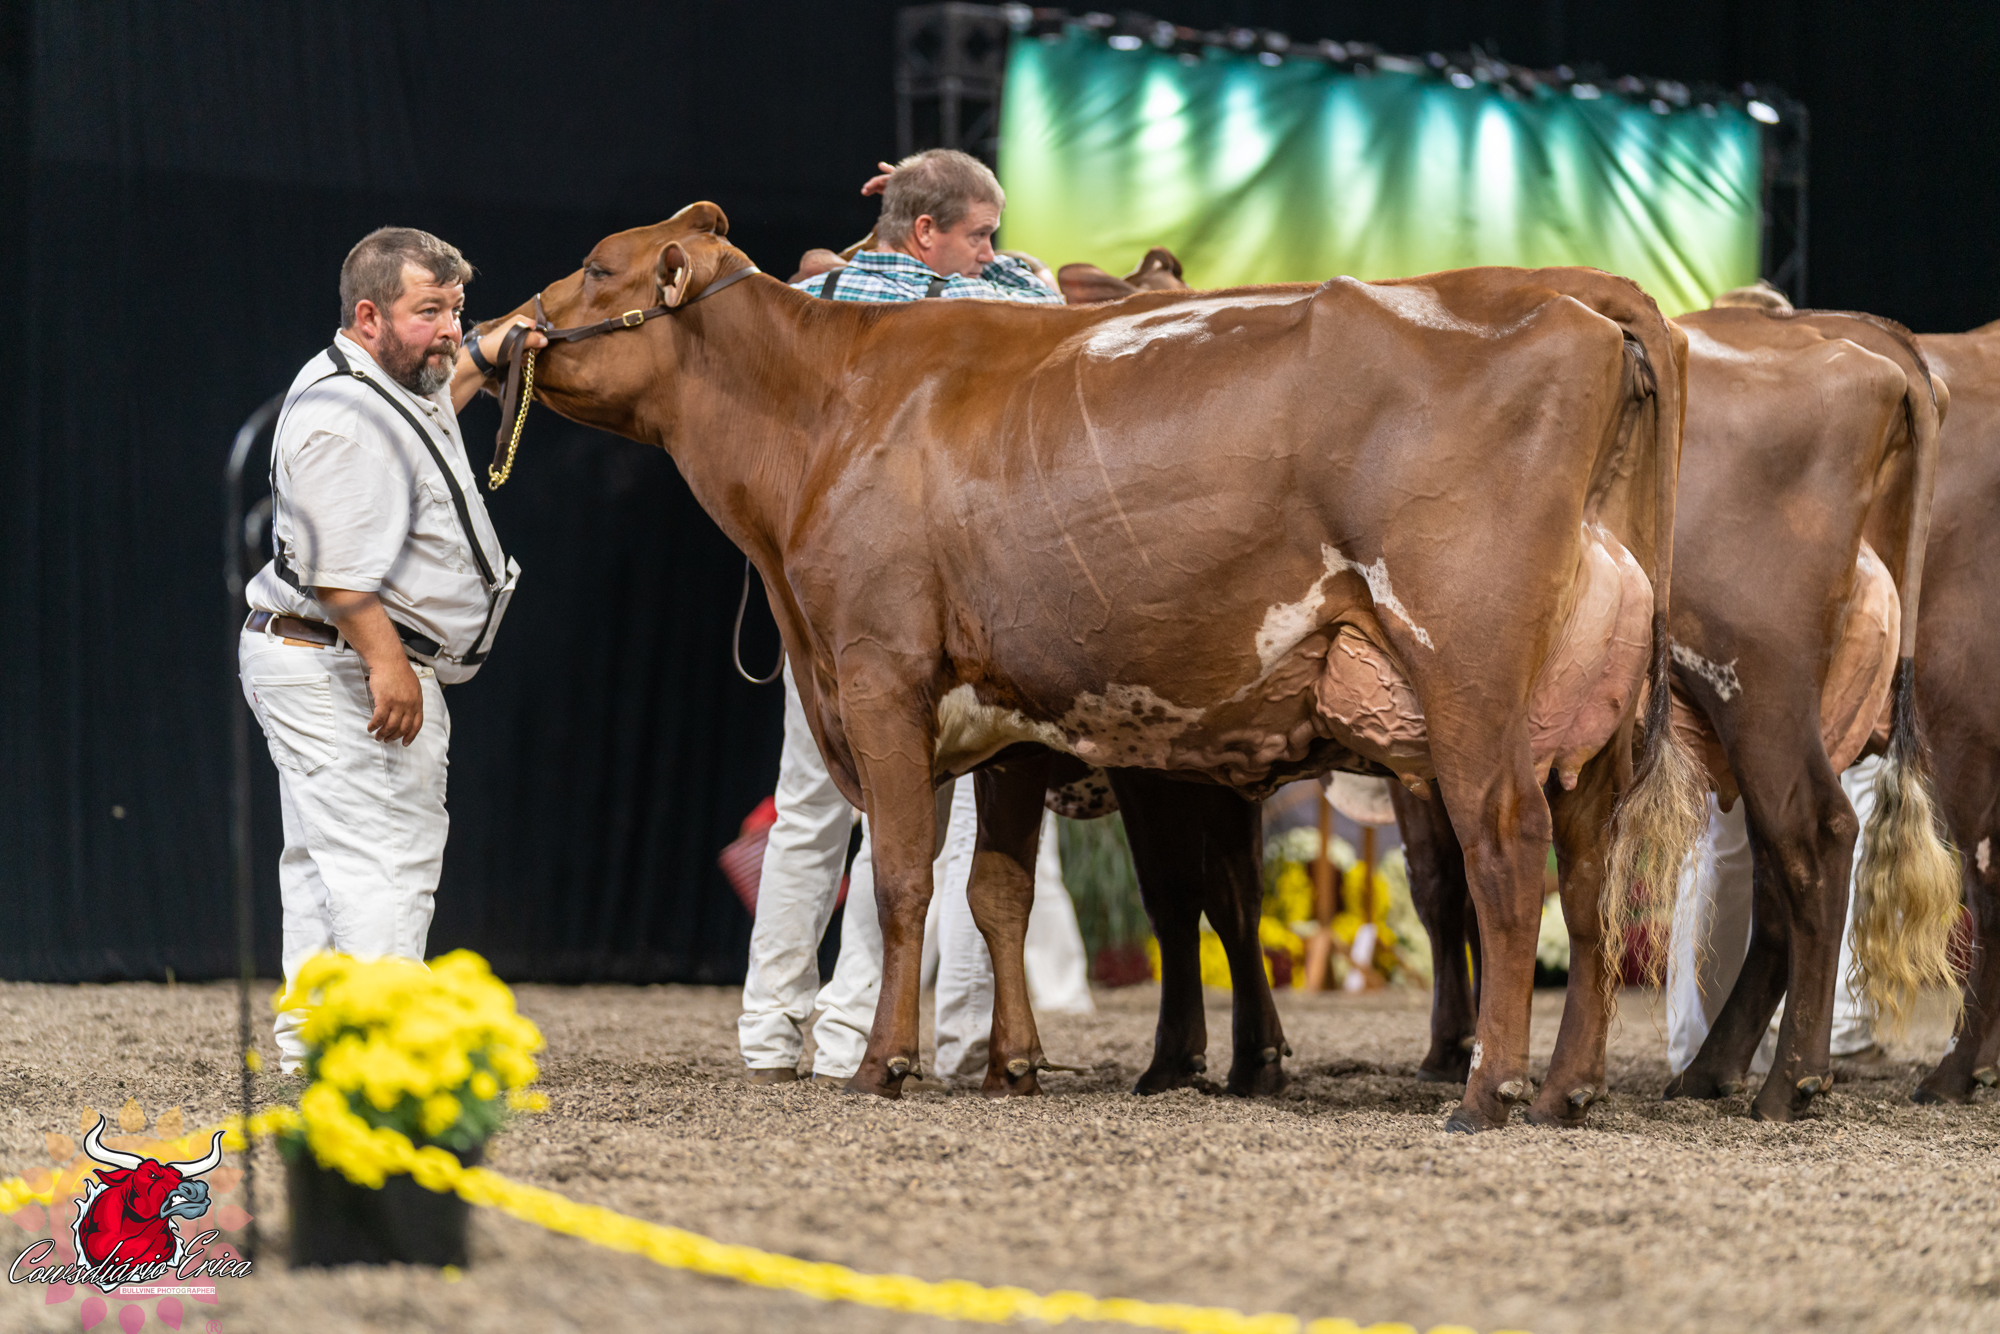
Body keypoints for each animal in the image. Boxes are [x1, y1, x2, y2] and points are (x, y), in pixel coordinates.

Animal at [483, 202, 1701, 1133]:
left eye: (599, 266)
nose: (495, 332)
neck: (834, 408)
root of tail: (1580, 304)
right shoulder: (1009, 716)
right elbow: (996, 892)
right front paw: (1009, 1064)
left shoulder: (878, 671)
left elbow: (904, 881)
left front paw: (885, 1064)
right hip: (1583, 718)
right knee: (1590, 881)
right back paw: (1568, 1087)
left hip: (1467, 684)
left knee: (1506, 861)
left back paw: (1486, 1089)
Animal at [1398, 298, 1959, 1123]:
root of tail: (1877, 354)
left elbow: (1444, 884)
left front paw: (1449, 1052)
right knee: (1780, 871)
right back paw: (1714, 1068)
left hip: (1760, 689)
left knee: (1821, 836)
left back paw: (1794, 1081)